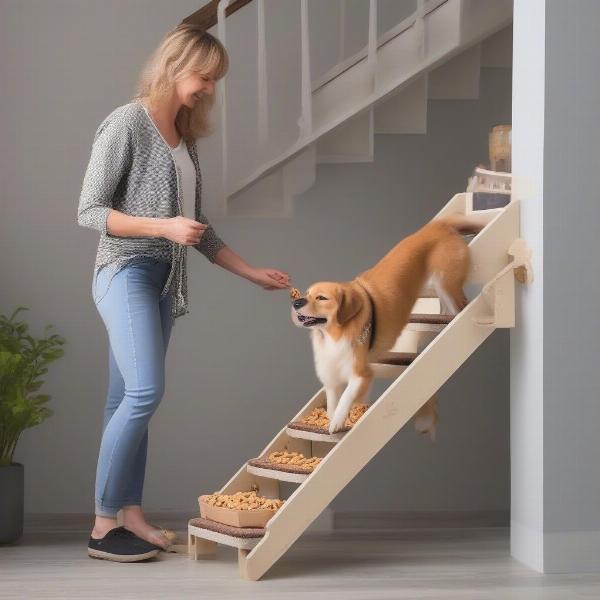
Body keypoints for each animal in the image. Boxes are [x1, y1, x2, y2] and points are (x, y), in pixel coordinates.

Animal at [290, 216, 482, 436]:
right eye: (306, 294)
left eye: (322, 298)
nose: (296, 302)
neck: (333, 335)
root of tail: (441, 225)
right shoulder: (331, 377)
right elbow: (332, 402)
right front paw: (332, 419)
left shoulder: (360, 374)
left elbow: (346, 397)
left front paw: (337, 422)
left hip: (446, 284)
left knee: (461, 307)